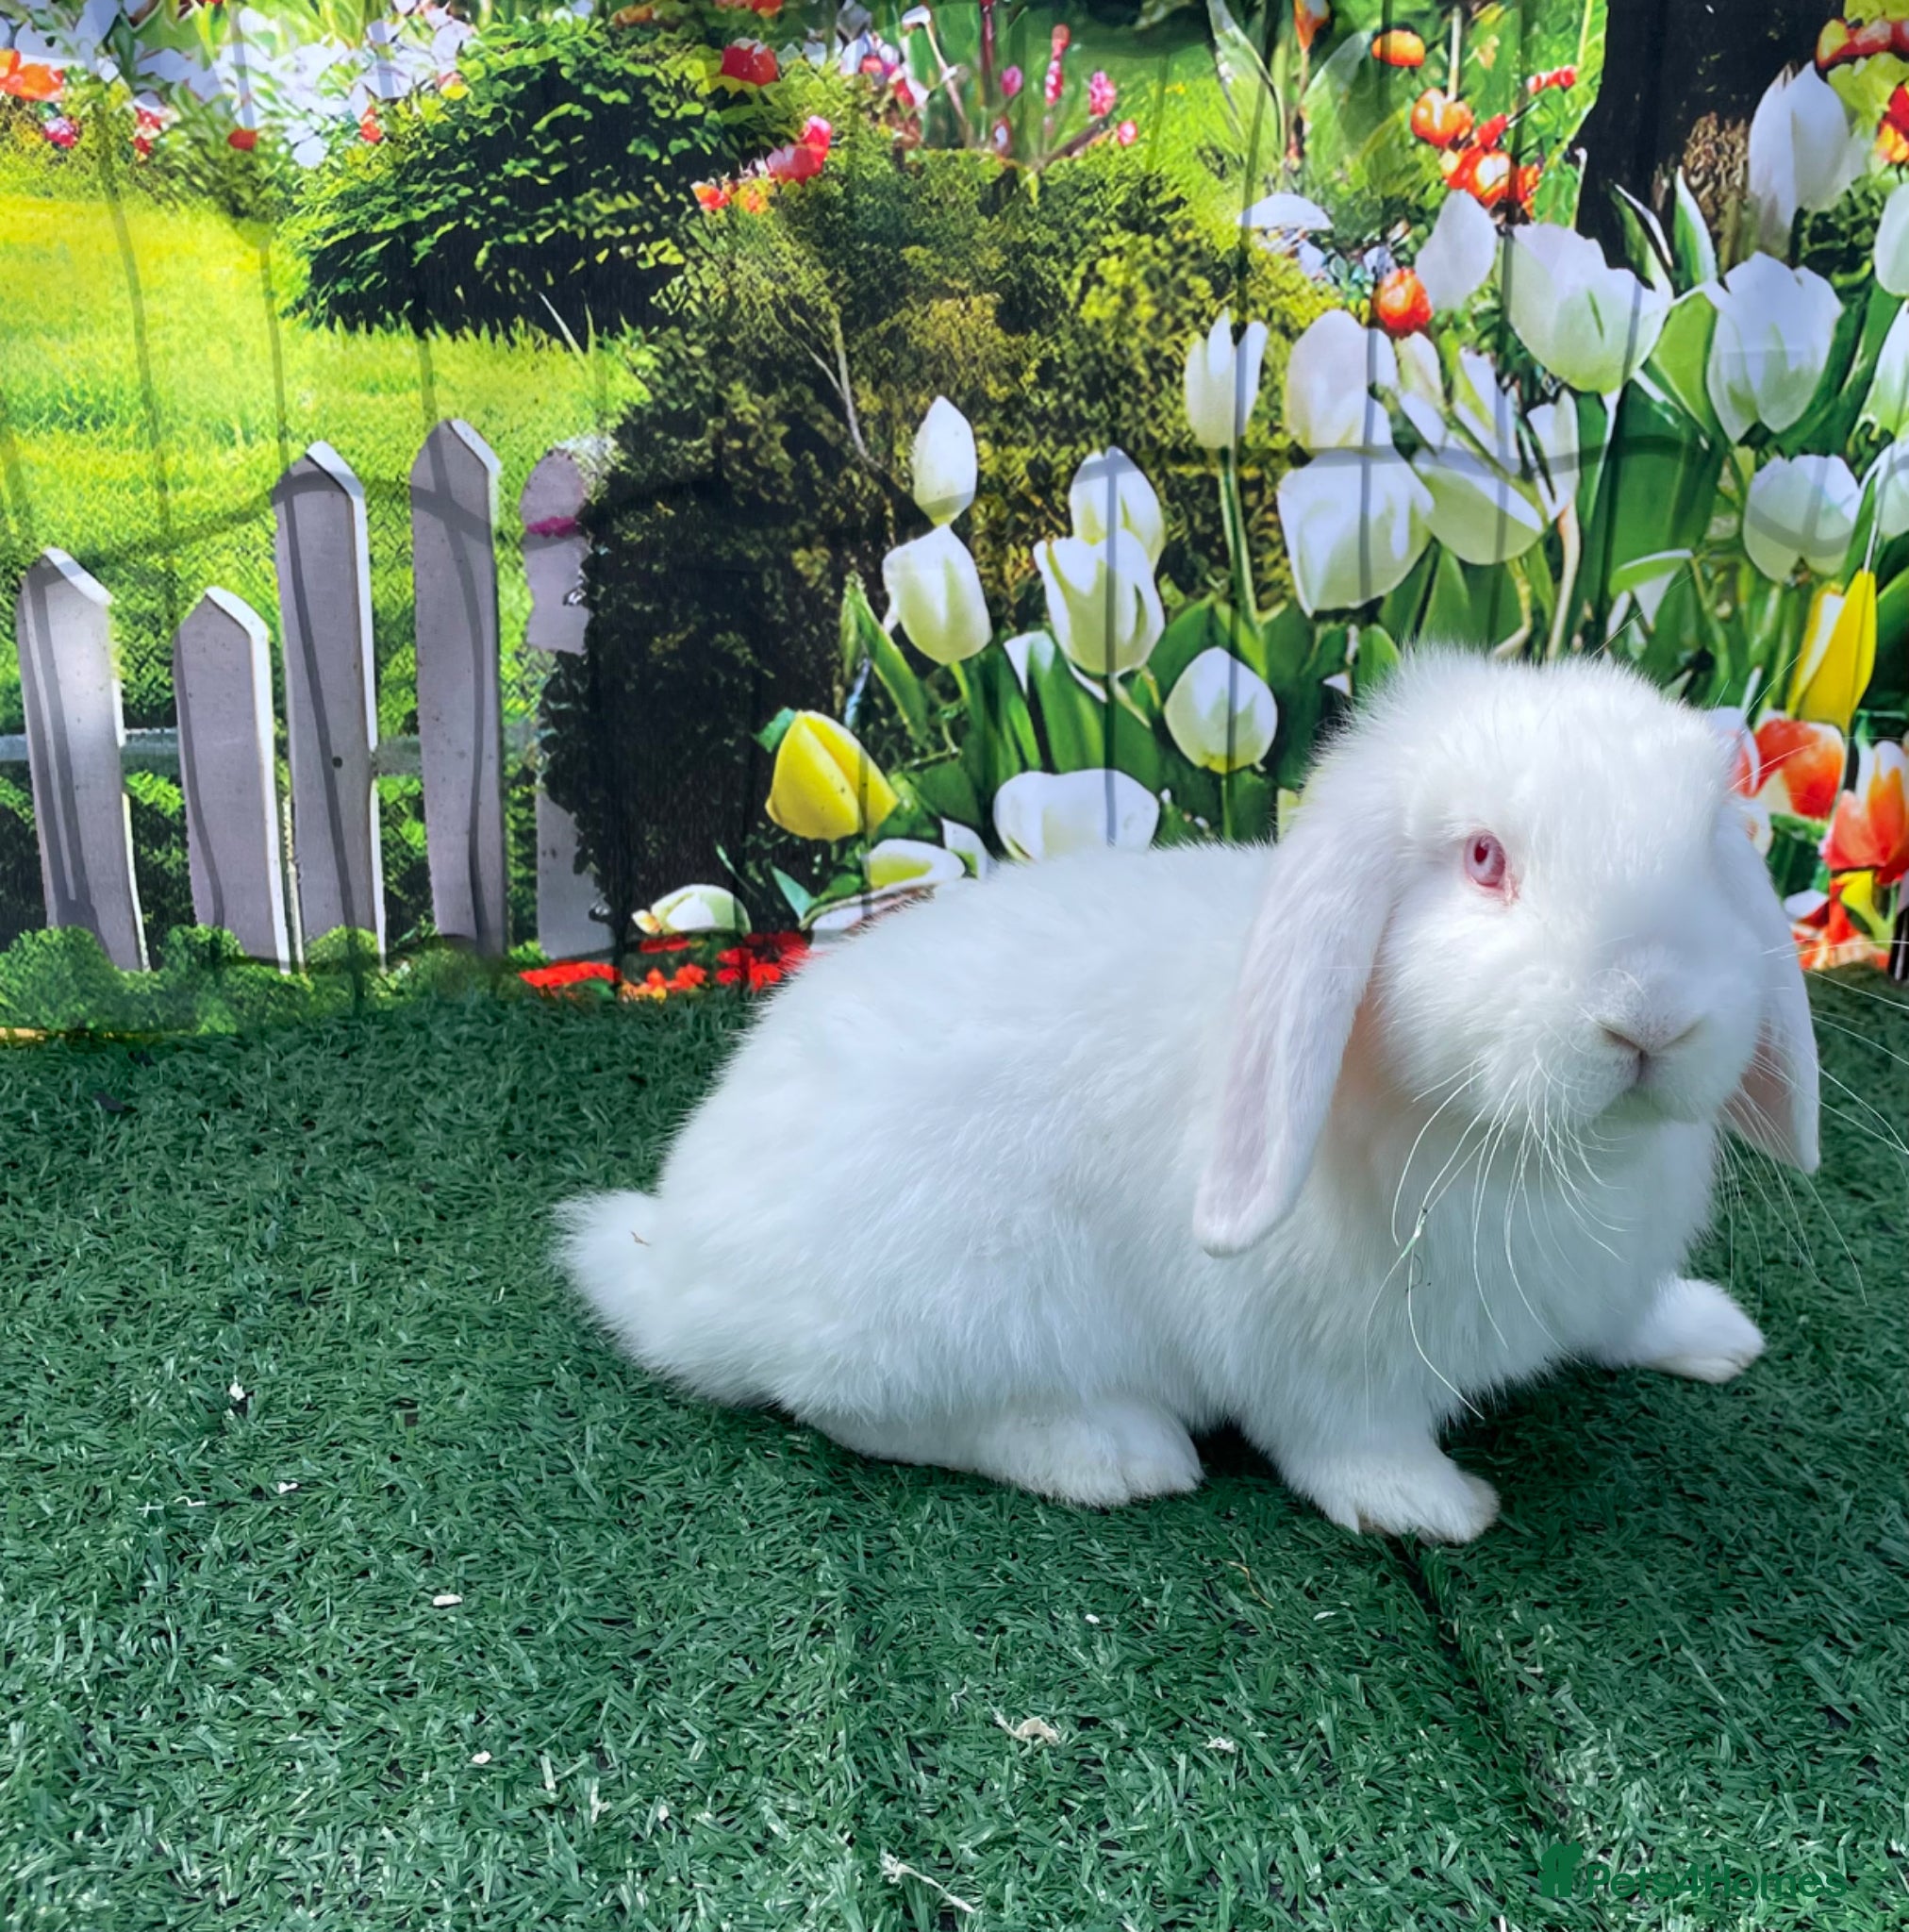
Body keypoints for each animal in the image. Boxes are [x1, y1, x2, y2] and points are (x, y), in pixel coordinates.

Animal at [557, 649, 1819, 1542]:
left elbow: (1628, 1315)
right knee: (870, 1416)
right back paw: (1115, 1452)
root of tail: (676, 1262)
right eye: (1480, 858)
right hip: (945, 1314)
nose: (1651, 1014)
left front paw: (1712, 1332)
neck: (1543, 1150)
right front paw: (1435, 1506)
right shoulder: (1321, 1358)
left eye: (1711, 847)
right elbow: (1348, 1441)